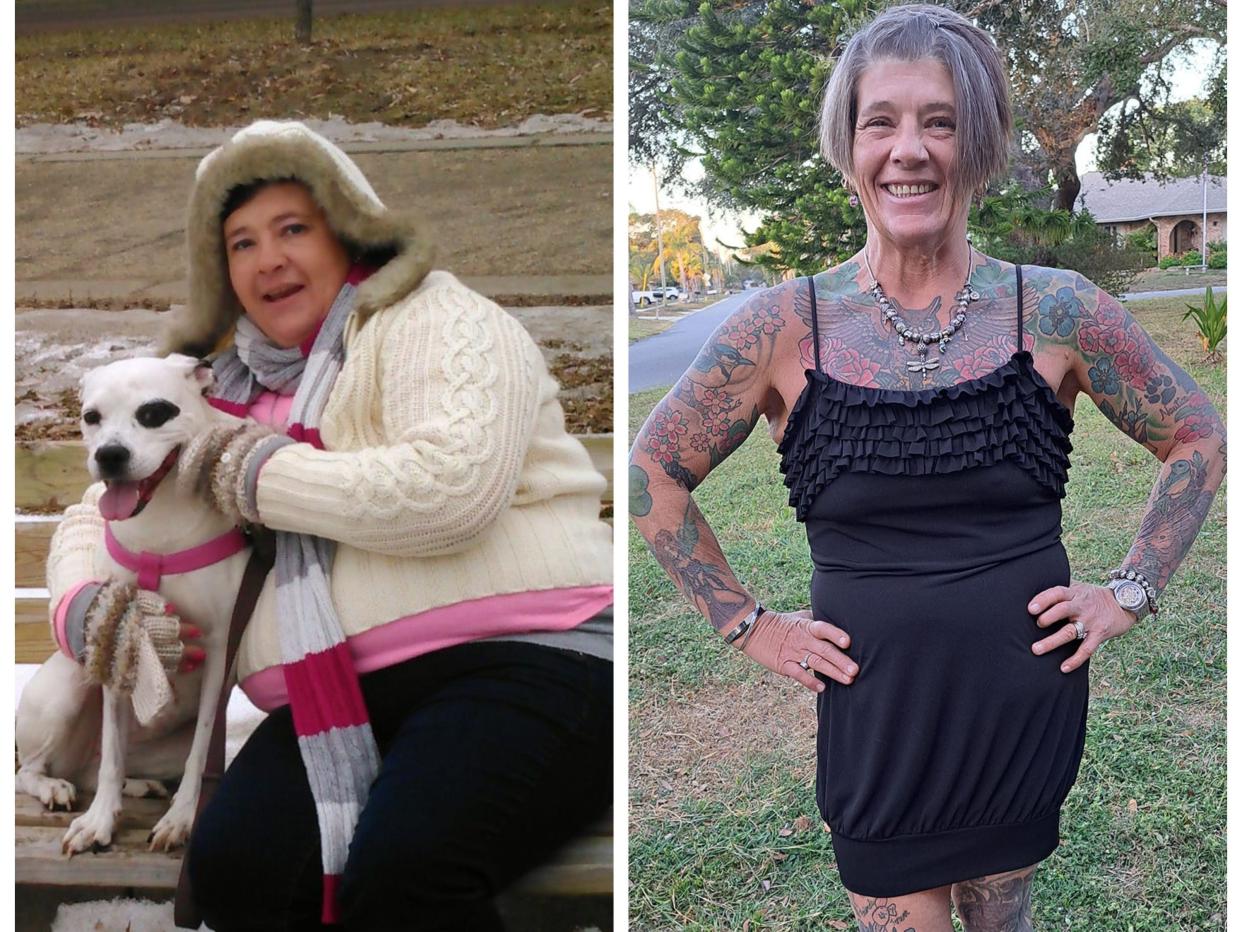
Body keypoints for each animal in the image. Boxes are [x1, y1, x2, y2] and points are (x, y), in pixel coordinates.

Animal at [16, 355, 252, 854]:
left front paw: (181, 818)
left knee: (99, 766)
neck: (157, 530)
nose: (109, 455)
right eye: (91, 417)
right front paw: (99, 821)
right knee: (34, 770)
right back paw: (54, 787)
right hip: (67, 685)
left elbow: (201, 752)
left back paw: (140, 785)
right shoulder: (118, 638)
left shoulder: (219, 652)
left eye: (155, 412)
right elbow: (112, 754)